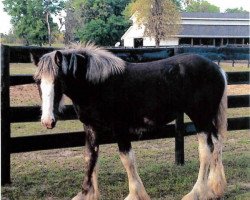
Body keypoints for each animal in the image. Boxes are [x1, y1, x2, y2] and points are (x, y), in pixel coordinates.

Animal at [32, 44, 228, 200]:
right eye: (37, 81)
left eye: (58, 81)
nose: (48, 121)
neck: (98, 85)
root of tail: (217, 69)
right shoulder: (91, 128)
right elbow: (90, 157)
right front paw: (87, 193)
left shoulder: (120, 128)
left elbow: (127, 158)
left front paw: (135, 194)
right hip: (207, 119)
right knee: (217, 143)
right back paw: (215, 189)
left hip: (200, 117)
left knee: (206, 150)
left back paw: (196, 193)